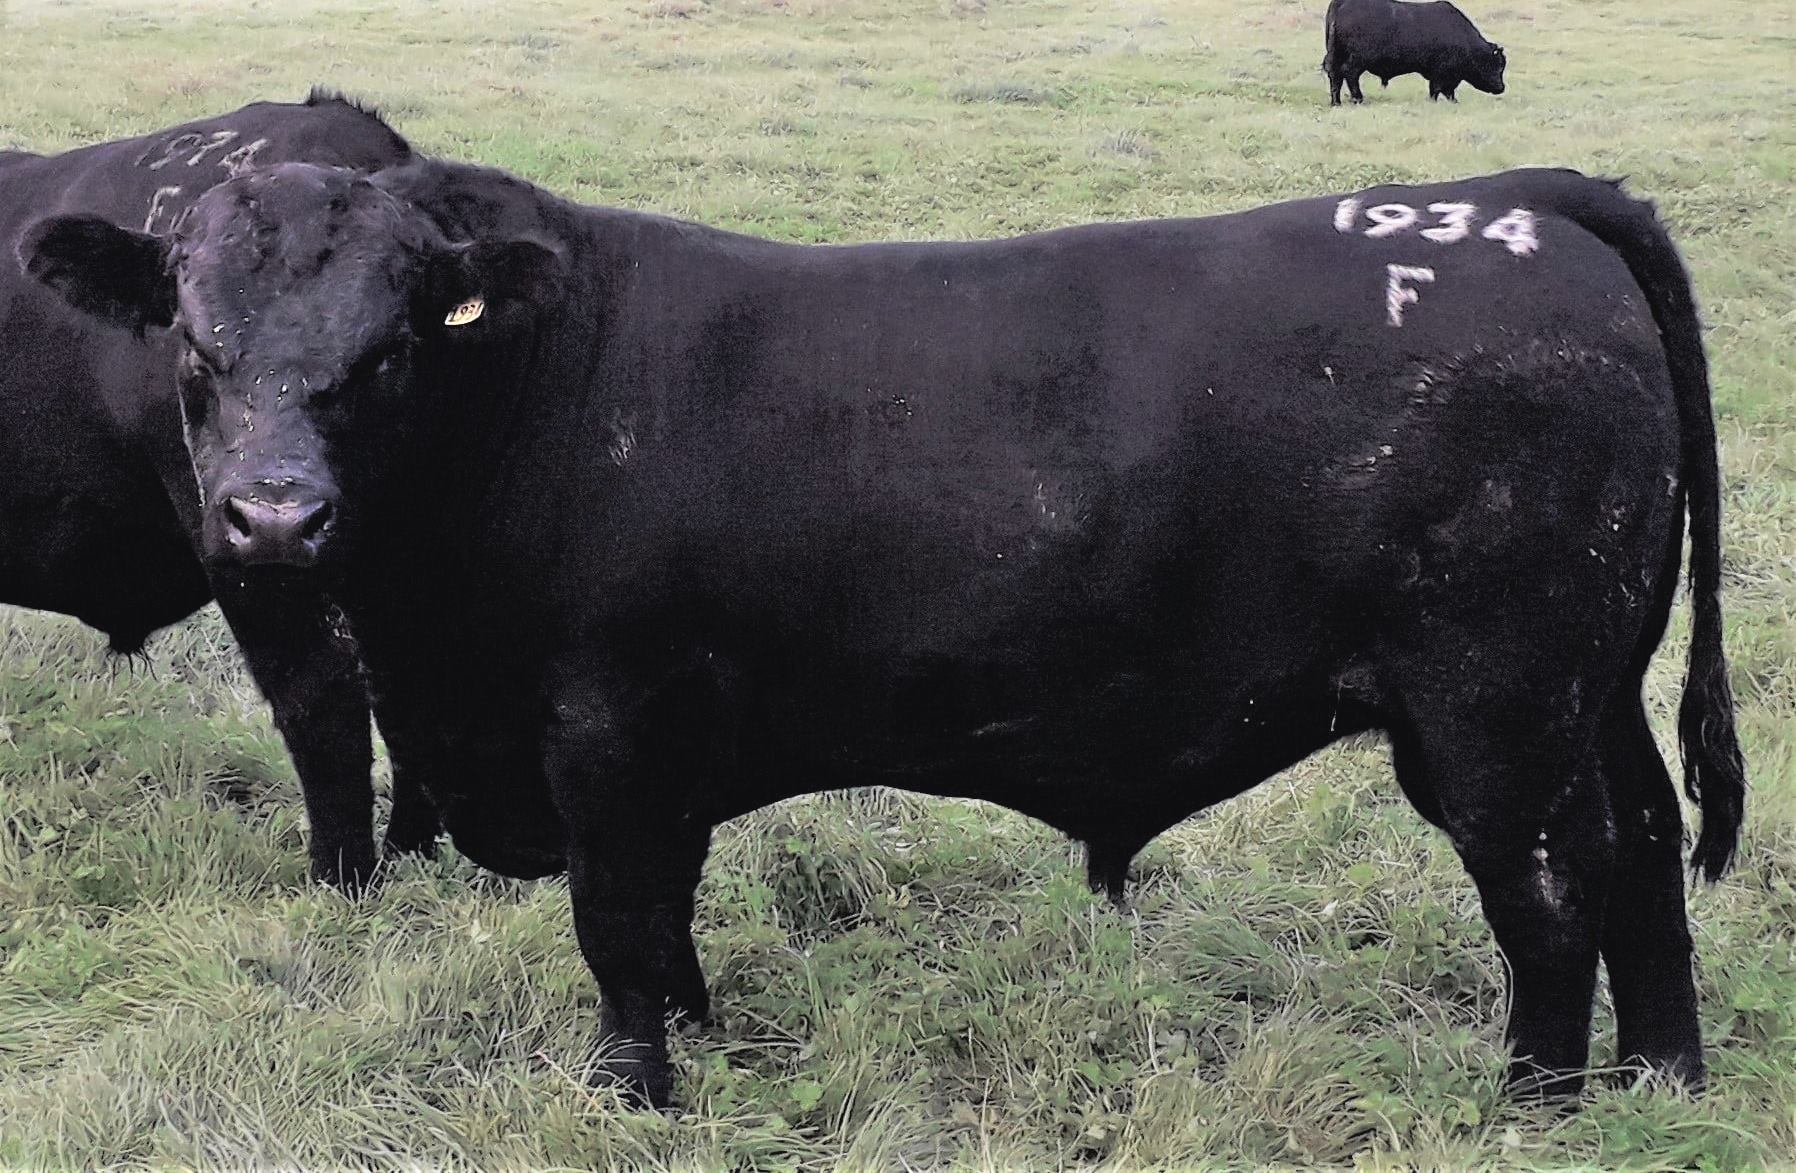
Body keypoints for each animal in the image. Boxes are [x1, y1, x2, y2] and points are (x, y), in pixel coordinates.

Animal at [21, 157, 1746, 1111]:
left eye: (388, 345)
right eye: (191, 342)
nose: (270, 521)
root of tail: (1524, 204)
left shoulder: (603, 728)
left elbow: (614, 924)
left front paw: (631, 1094)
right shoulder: (656, 748)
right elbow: (665, 918)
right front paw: (699, 1042)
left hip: (1494, 708)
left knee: (1553, 890)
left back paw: (1533, 1105)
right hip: (1593, 685)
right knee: (1645, 846)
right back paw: (1661, 1078)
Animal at [1325, 0, 1507, 106]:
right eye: (1497, 66)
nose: (1501, 87)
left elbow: (1446, 91)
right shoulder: (1441, 72)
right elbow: (1438, 89)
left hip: (1336, 56)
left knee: (1335, 77)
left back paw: (1336, 103)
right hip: (1357, 59)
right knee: (1349, 74)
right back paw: (1358, 99)